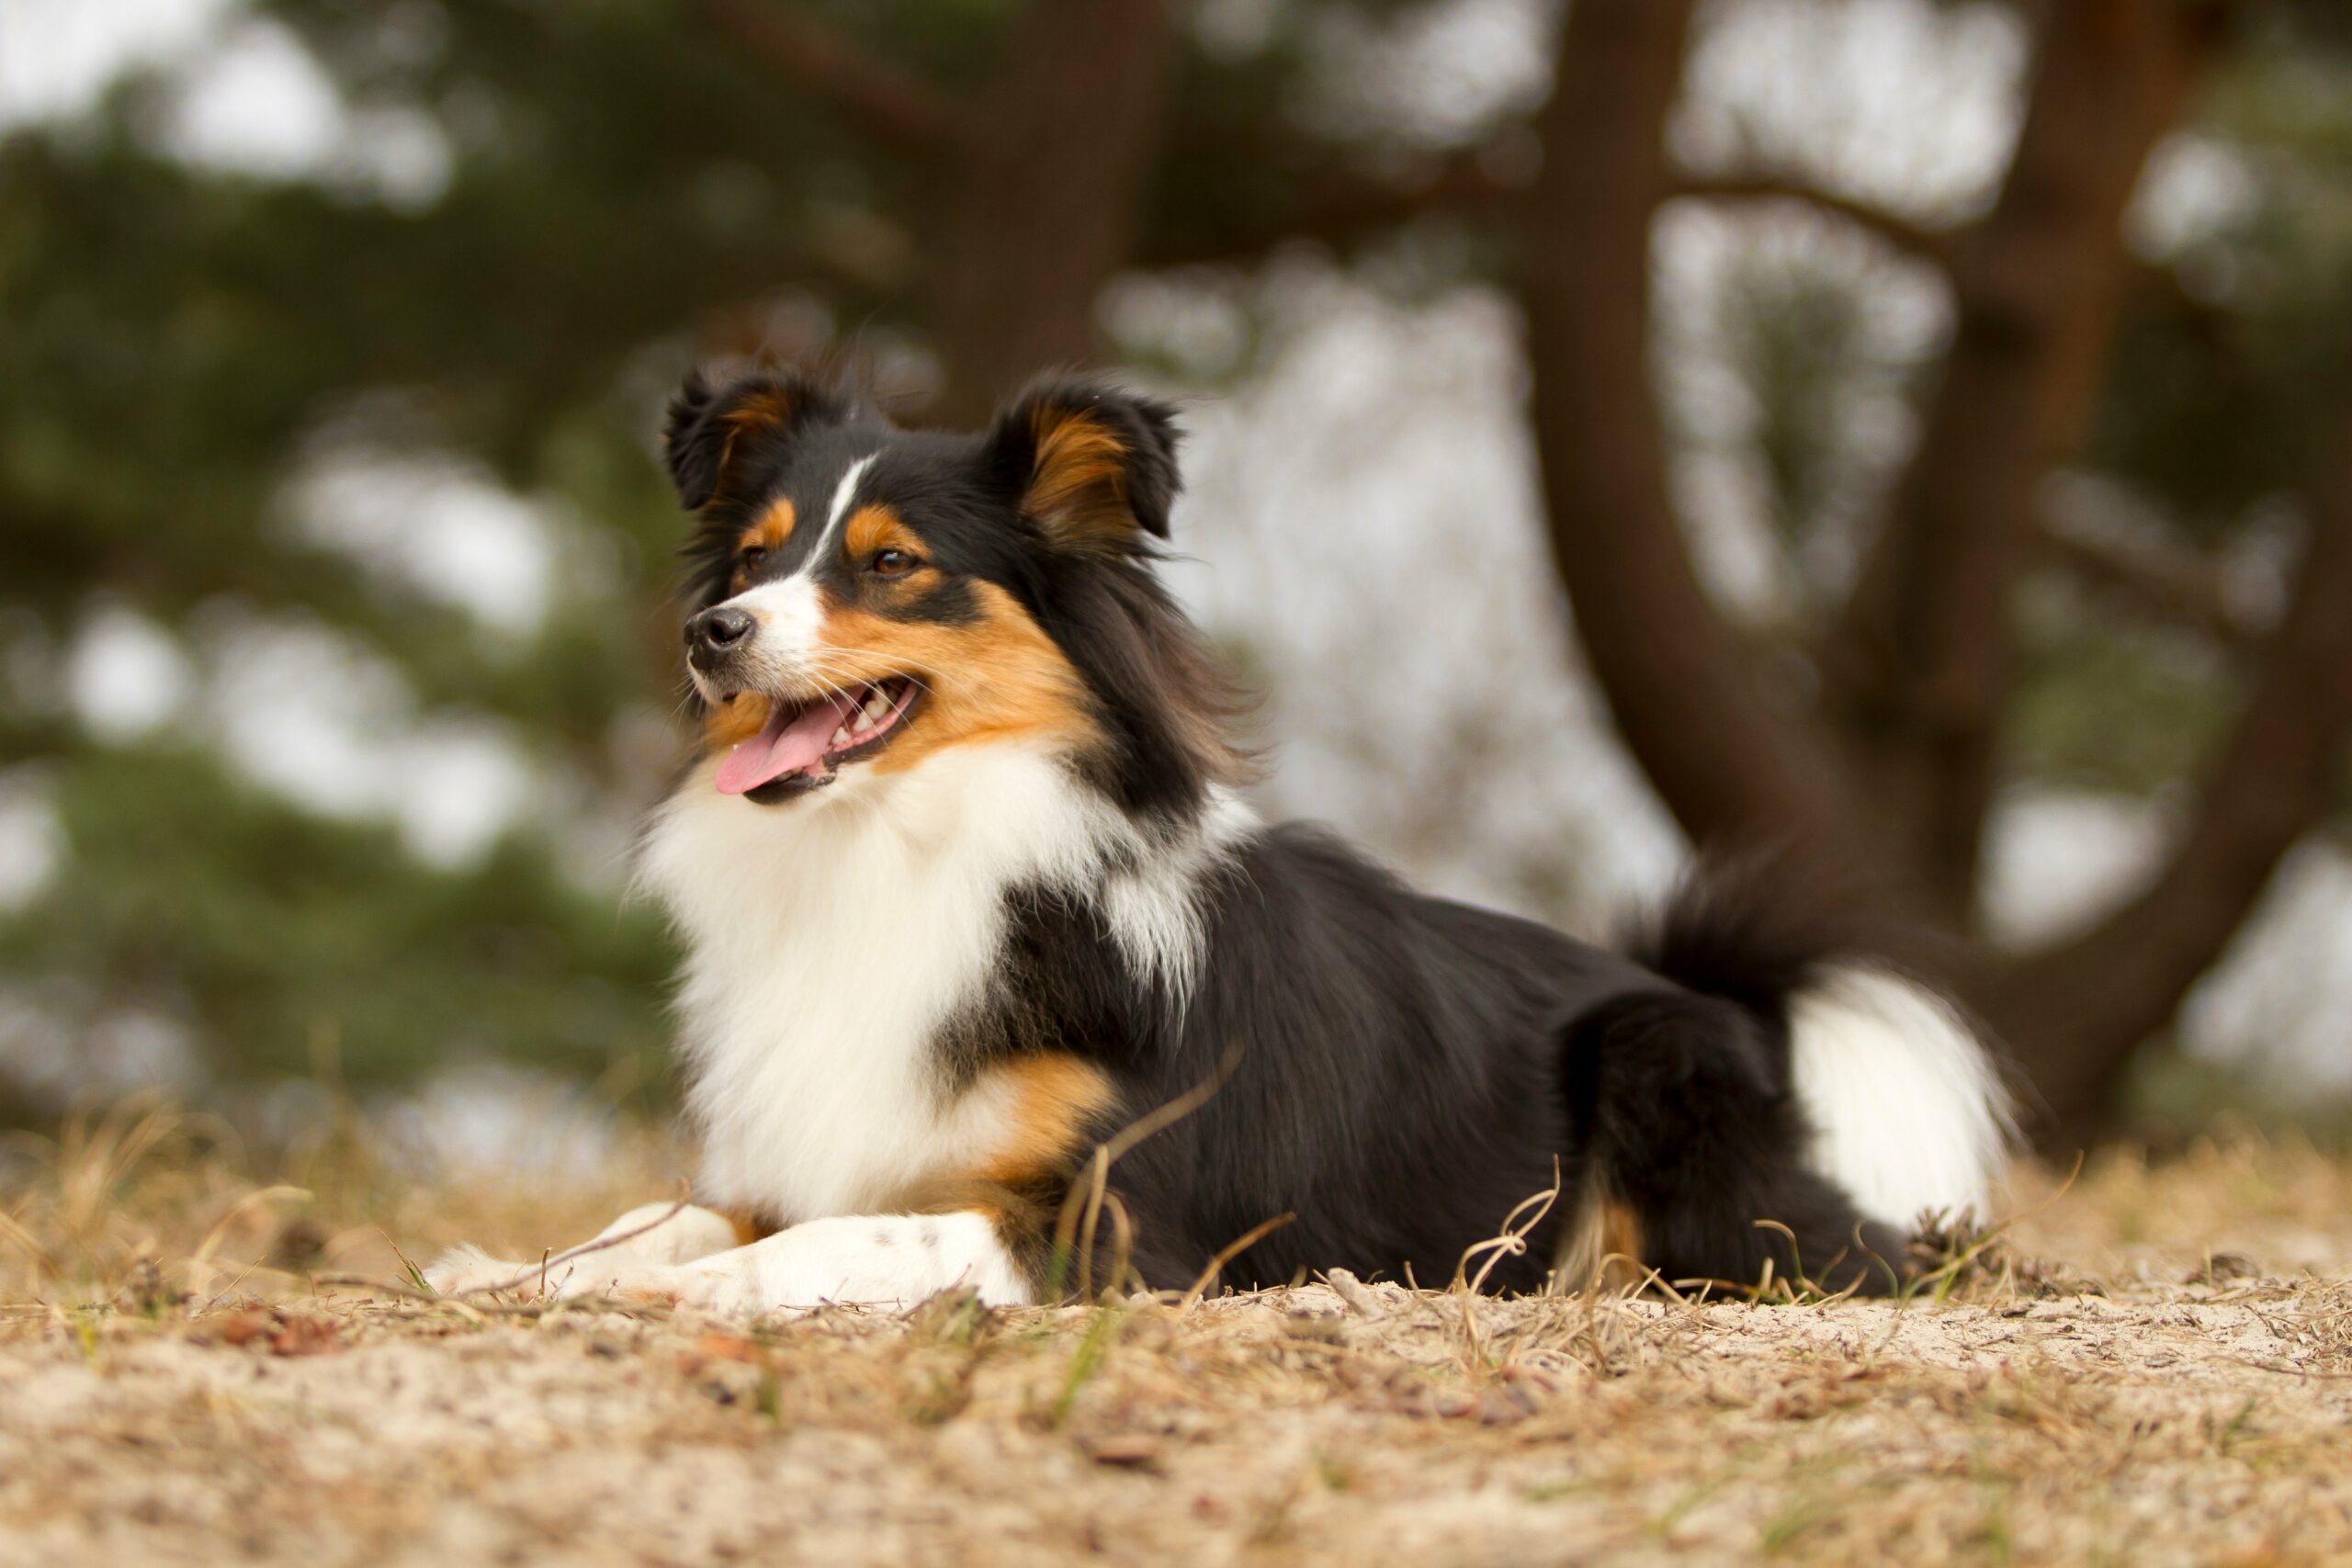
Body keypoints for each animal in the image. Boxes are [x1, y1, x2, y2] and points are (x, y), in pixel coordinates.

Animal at [423, 368, 2004, 1316]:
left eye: (890, 564)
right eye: (752, 555)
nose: (714, 633)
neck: (912, 846)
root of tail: (1699, 992)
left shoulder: (1113, 1218)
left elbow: (837, 1238)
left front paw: (655, 1299)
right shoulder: (813, 1143)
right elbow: (667, 1212)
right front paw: (510, 1264)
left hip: (1656, 1085)